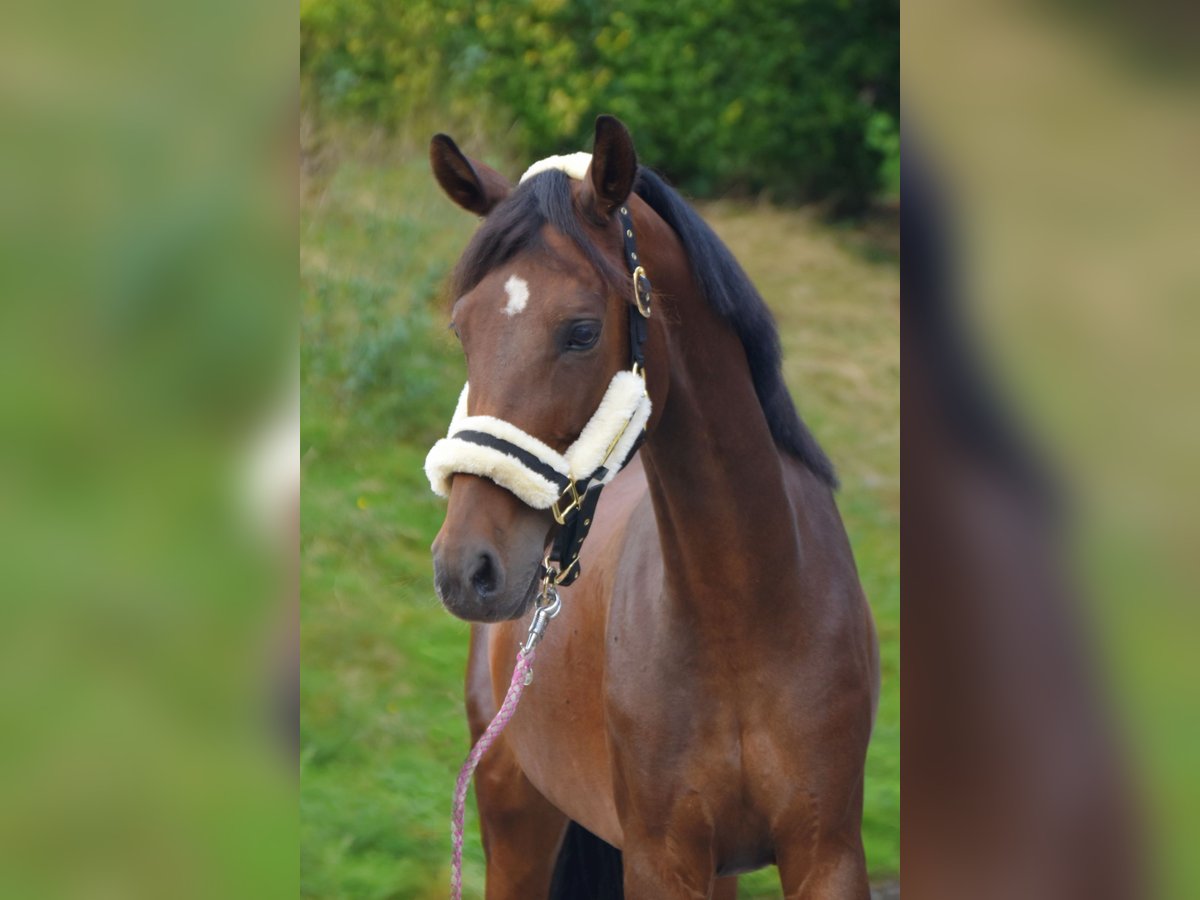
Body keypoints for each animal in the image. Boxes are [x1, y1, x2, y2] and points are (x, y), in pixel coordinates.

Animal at [427, 116, 878, 897]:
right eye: (464, 329)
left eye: (581, 331)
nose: (465, 568)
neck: (745, 607)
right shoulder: (659, 857)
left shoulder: (827, 854)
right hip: (514, 815)